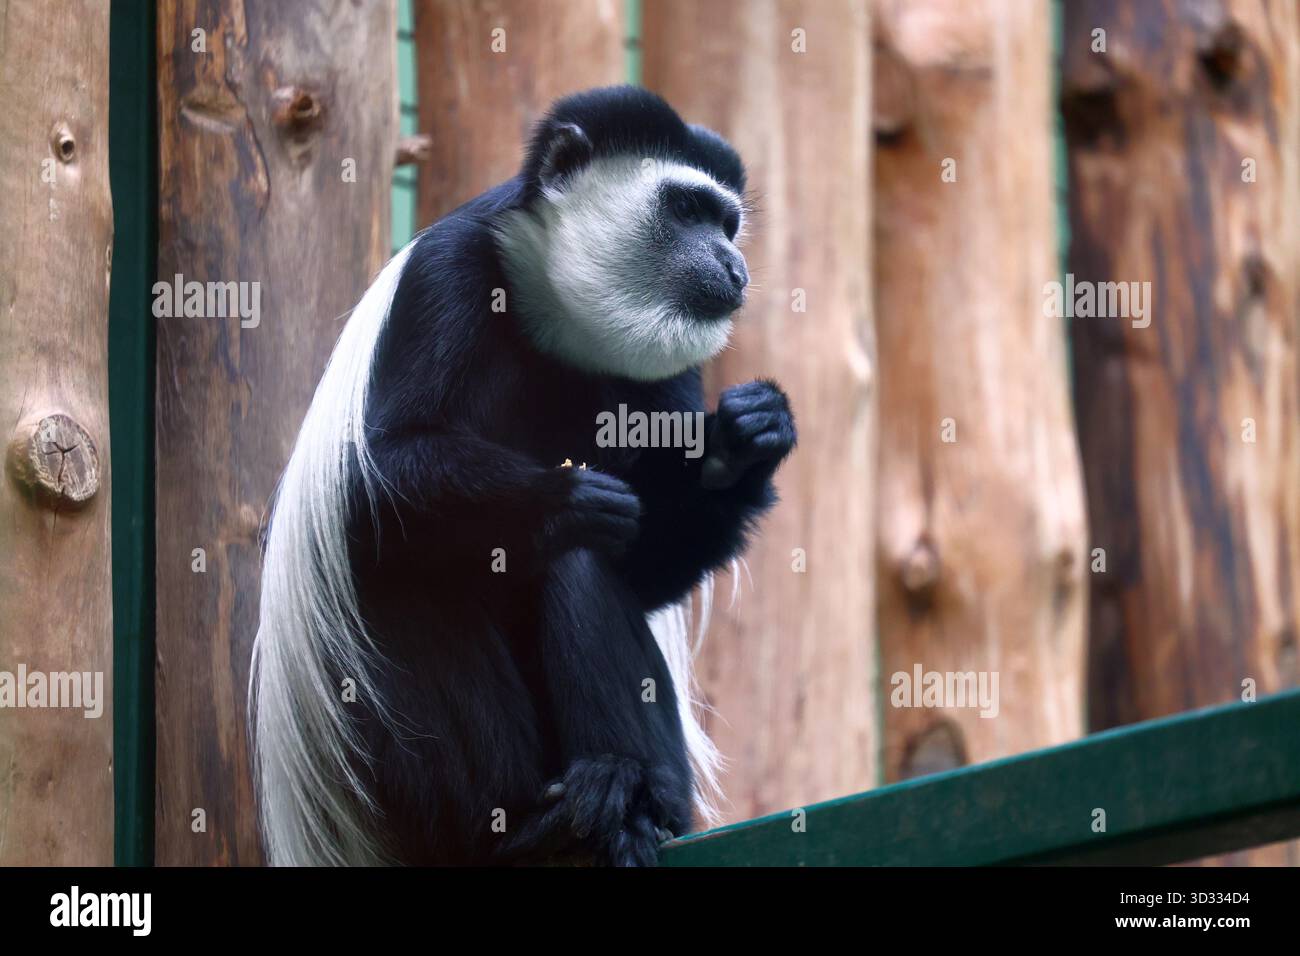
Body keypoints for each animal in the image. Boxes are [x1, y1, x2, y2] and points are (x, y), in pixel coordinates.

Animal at [250, 86, 796, 866]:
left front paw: (745, 440)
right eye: (688, 209)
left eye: (727, 223)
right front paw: (561, 498)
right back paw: (520, 826)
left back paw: (627, 799)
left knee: (581, 573)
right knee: (402, 577)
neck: (554, 310)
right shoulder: (447, 272)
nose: (735, 266)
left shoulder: (668, 367)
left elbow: (651, 569)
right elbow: (379, 468)